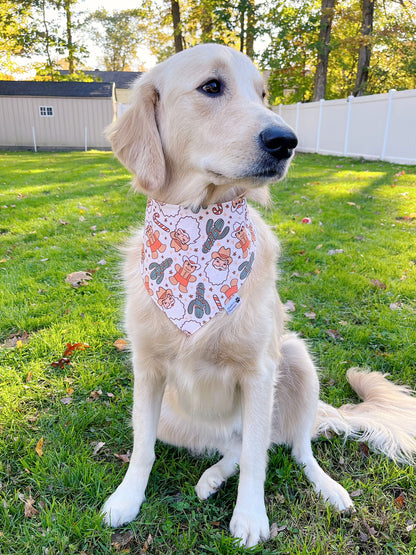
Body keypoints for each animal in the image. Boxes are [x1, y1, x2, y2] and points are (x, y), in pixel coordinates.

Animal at [101, 43, 416, 548]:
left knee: (289, 446)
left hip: (296, 359)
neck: (200, 230)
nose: (286, 141)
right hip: (175, 415)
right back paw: (210, 477)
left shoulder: (258, 371)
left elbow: (256, 457)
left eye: (263, 94)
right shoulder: (146, 371)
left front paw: (250, 517)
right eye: (212, 86)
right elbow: (142, 447)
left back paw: (328, 488)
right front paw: (127, 498)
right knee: (236, 445)